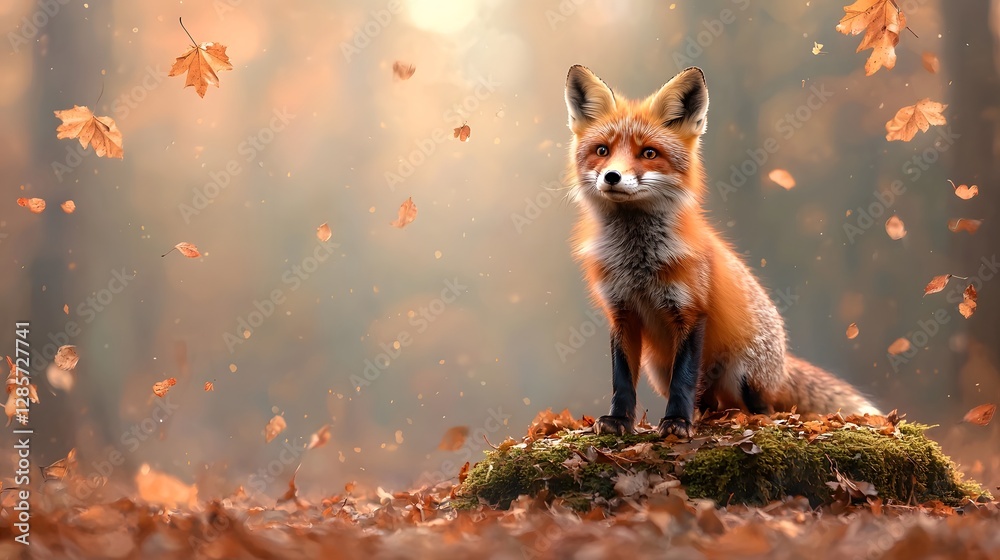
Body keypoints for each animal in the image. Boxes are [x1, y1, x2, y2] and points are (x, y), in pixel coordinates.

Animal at [563, 65, 880, 438]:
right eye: (602, 151)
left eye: (649, 153)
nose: (612, 176)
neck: (638, 262)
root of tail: (783, 362)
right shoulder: (621, 312)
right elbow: (622, 379)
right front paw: (619, 420)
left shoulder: (691, 310)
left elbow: (685, 379)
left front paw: (676, 422)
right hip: (659, 369)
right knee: (710, 403)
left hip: (743, 372)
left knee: (762, 408)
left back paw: (745, 419)